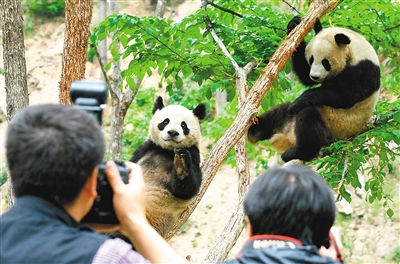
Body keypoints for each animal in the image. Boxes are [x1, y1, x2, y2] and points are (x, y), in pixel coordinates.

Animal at [130, 95, 206, 237]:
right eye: (165, 121)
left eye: (183, 125)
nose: (172, 132)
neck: (168, 150)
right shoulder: (145, 149)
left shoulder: (193, 153)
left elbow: (187, 190)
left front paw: (181, 165)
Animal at [247, 16, 382, 162]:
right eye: (311, 59)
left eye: (325, 62)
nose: (315, 76)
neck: (355, 50)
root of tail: (291, 137)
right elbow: (305, 75)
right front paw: (294, 24)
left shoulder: (364, 70)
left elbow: (344, 94)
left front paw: (299, 101)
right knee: (279, 112)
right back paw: (254, 130)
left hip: (336, 123)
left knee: (309, 117)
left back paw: (297, 152)